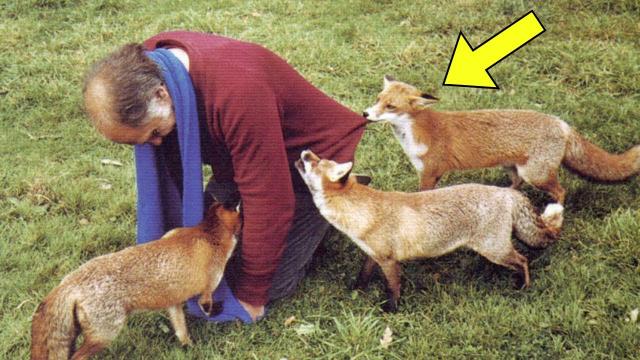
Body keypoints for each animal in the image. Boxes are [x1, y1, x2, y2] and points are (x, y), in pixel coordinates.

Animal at [30, 202, 240, 360]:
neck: (208, 234)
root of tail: (70, 280)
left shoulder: (173, 302)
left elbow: (181, 331)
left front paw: (190, 348)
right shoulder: (209, 287)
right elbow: (206, 304)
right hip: (105, 334)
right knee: (77, 357)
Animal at [296, 149, 564, 312]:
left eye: (317, 162)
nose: (306, 152)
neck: (362, 213)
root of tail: (506, 193)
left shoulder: (390, 261)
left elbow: (393, 288)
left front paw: (390, 312)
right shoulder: (374, 255)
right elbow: (362, 276)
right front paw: (355, 292)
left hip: (495, 249)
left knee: (523, 260)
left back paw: (524, 286)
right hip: (495, 248)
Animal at [364, 76, 640, 204]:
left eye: (390, 106)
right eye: (378, 99)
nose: (365, 114)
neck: (416, 132)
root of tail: (561, 122)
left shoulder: (430, 173)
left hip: (536, 175)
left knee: (561, 191)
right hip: (513, 169)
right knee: (517, 185)